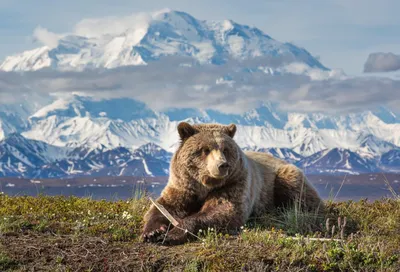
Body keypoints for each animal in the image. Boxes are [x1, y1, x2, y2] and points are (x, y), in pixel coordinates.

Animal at [142, 122, 324, 244]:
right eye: (205, 149)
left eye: (225, 149)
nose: (222, 165)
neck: (205, 185)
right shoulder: (184, 185)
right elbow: (165, 206)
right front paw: (153, 232)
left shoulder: (234, 183)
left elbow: (224, 209)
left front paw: (172, 233)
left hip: (283, 176)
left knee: (298, 194)